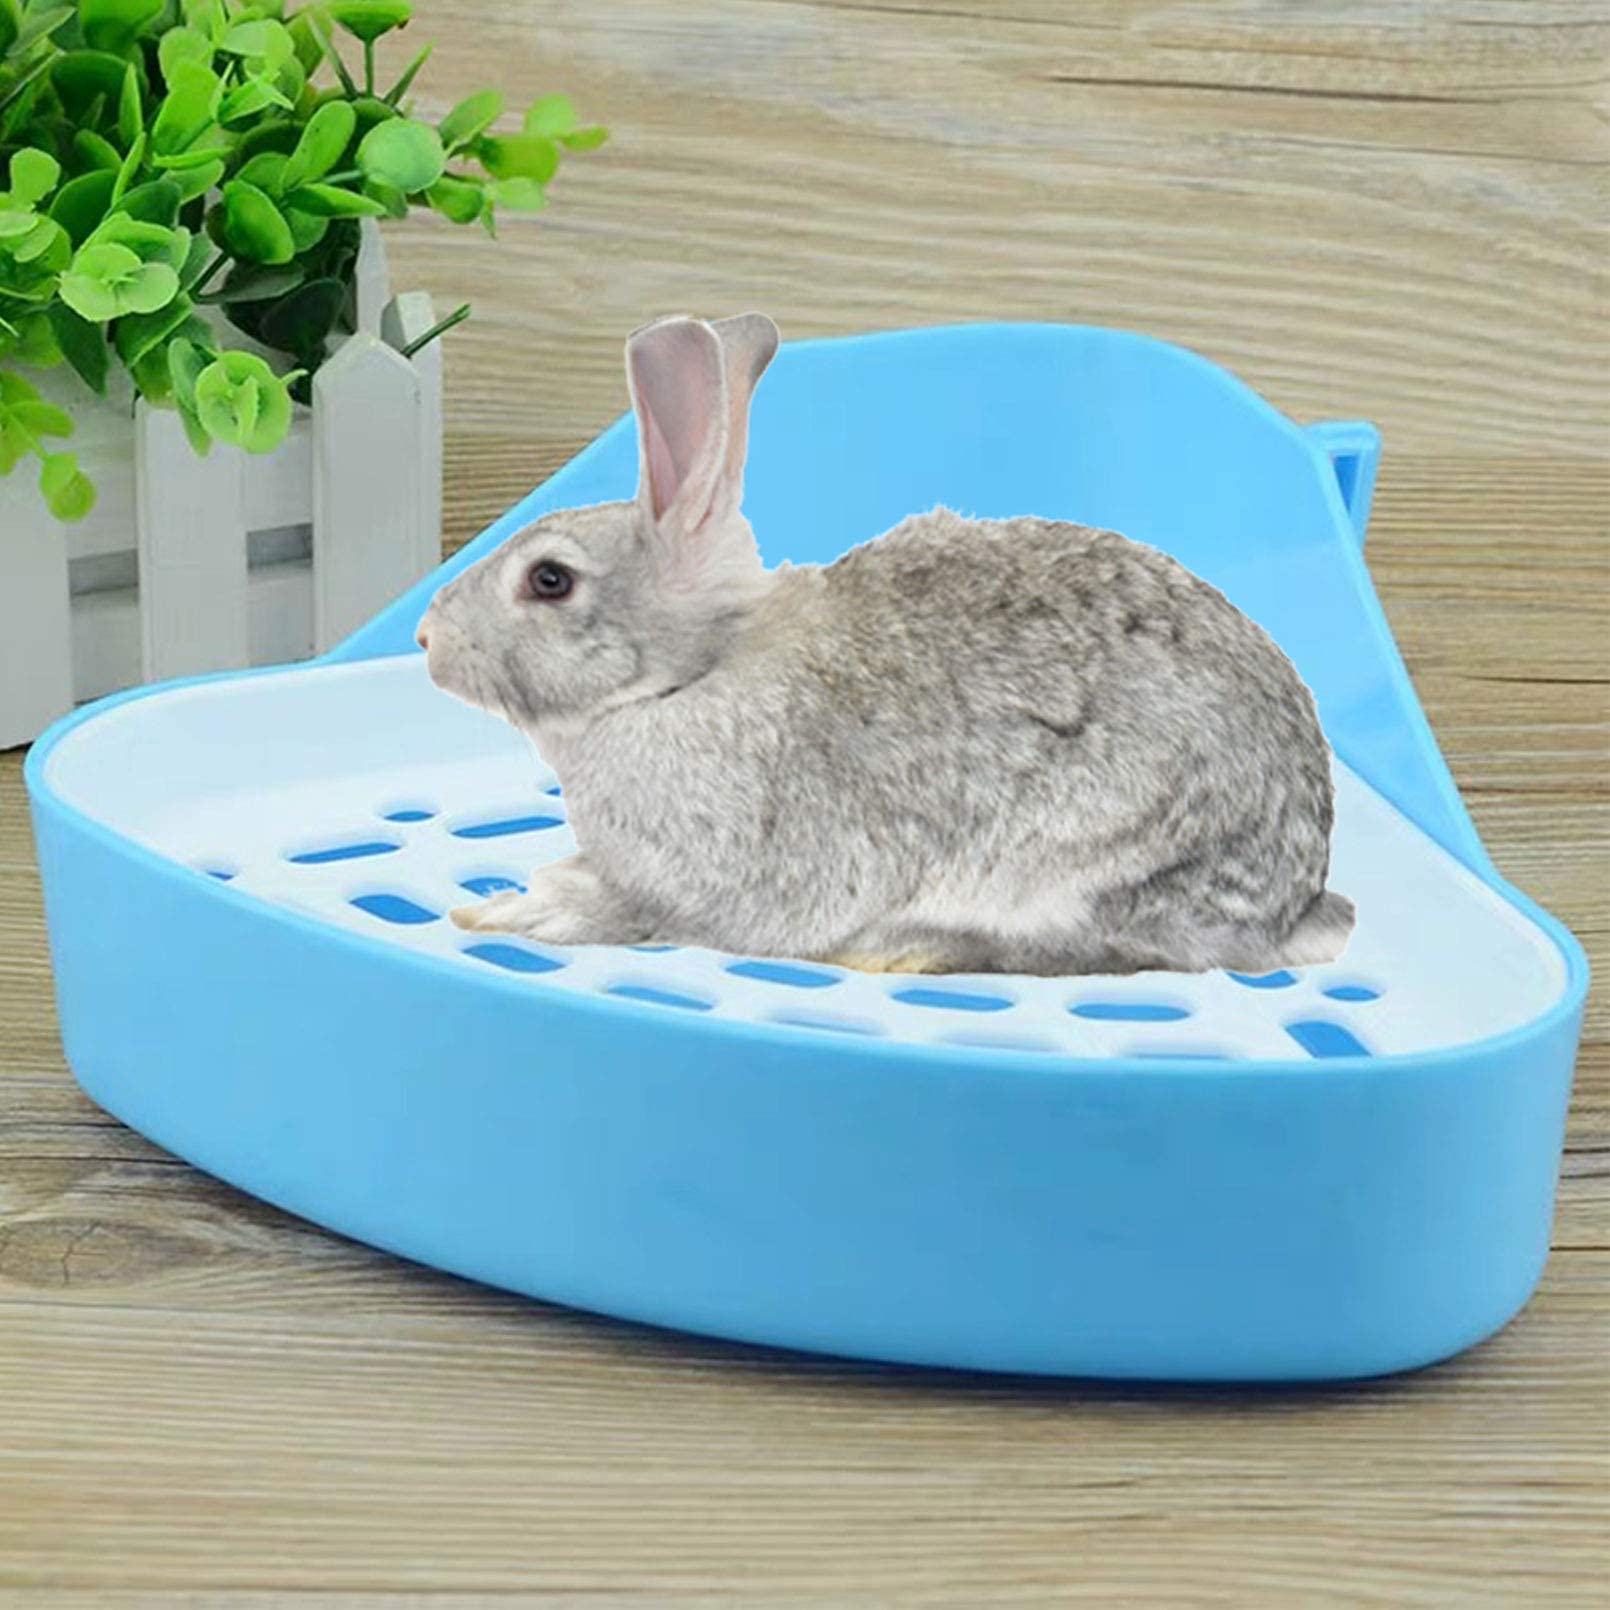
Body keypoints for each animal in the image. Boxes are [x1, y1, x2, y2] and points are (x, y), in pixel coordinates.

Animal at [415, 313, 1354, 976]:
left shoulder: (729, 882)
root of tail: (1297, 900)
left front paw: (523, 911)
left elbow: (643, 915)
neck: (693, 676)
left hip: (1085, 866)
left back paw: (903, 949)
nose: (425, 636)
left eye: (550, 580)